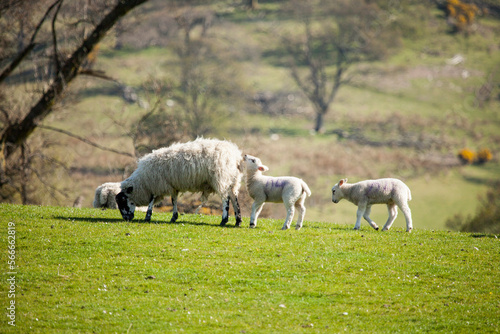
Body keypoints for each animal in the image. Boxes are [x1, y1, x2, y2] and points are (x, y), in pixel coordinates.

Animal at [115, 137, 244, 226]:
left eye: (123, 200)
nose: (126, 219)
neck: (143, 182)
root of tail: (236, 156)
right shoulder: (171, 185)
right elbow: (174, 200)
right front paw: (174, 217)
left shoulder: (158, 184)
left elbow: (152, 201)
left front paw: (148, 216)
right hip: (233, 180)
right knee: (234, 198)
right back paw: (238, 221)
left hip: (221, 178)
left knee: (225, 199)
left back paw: (224, 220)